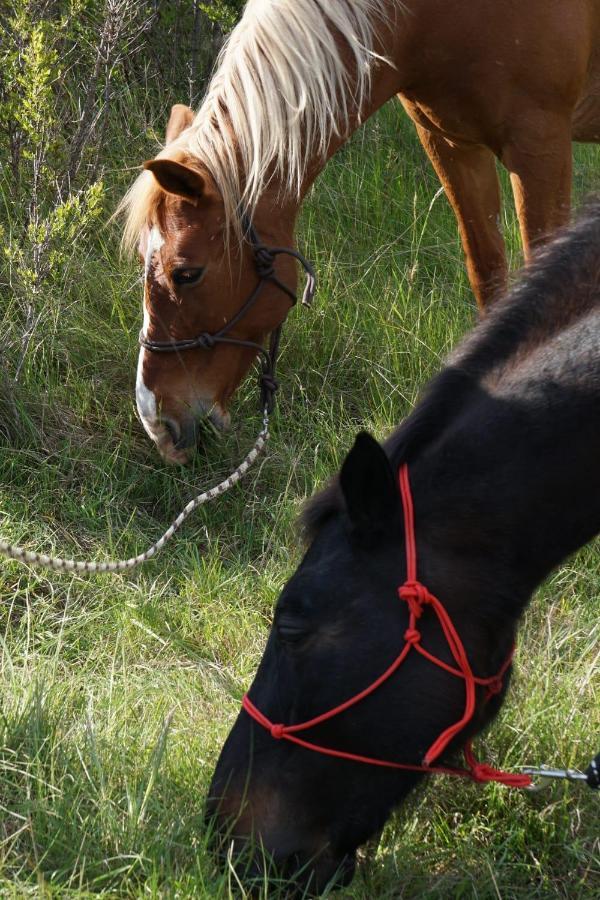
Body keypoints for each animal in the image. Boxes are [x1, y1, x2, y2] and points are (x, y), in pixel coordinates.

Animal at [120, 0, 600, 464]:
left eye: (186, 273)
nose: (158, 423)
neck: (436, 17)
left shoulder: (538, 143)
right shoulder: (450, 142)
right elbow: (487, 275)